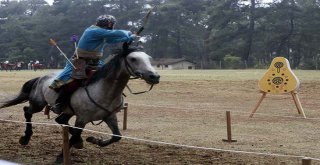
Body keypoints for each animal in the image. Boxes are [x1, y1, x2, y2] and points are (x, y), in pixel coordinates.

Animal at [0, 43, 160, 162]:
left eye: (149, 58)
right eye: (133, 59)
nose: (155, 76)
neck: (104, 90)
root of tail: (40, 77)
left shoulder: (110, 116)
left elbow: (116, 136)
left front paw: (94, 140)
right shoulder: (82, 118)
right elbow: (76, 133)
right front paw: (61, 157)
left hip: (67, 110)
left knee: (60, 120)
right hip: (38, 104)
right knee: (27, 111)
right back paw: (25, 138)